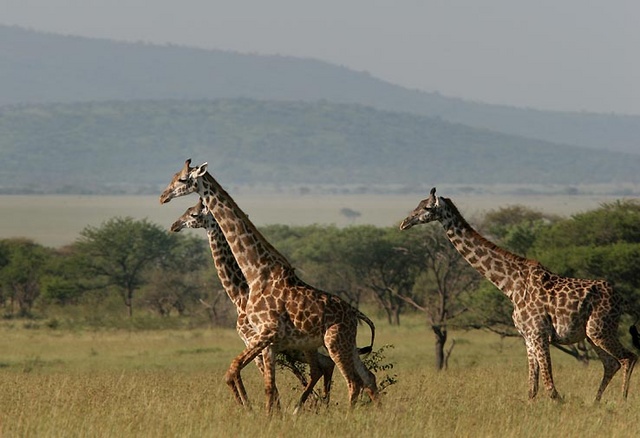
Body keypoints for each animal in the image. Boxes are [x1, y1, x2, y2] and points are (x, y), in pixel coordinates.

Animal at [170, 198, 335, 409]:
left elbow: (255, 379)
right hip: (299, 350)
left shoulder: (254, 343)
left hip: (299, 349)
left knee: (324, 366)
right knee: (327, 364)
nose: (175, 225)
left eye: (194, 213)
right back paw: (321, 404)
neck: (240, 296)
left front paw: (251, 408)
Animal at [400, 187, 637, 401]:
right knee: (611, 363)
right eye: (418, 204)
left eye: (427, 207)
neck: (511, 286)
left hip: (599, 329)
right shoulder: (528, 338)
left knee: (628, 357)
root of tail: (621, 298)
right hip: (590, 334)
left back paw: (622, 401)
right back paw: (596, 402)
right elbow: (532, 389)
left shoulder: (539, 334)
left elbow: (551, 389)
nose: (404, 223)